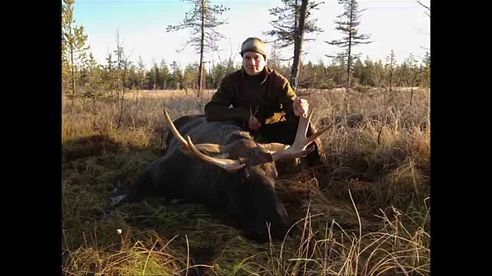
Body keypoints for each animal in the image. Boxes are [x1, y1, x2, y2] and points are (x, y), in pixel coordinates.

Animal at [111, 109, 326, 242]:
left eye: (275, 175)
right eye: (242, 178)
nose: (281, 228)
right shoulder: (155, 169)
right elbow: (130, 194)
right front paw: (117, 195)